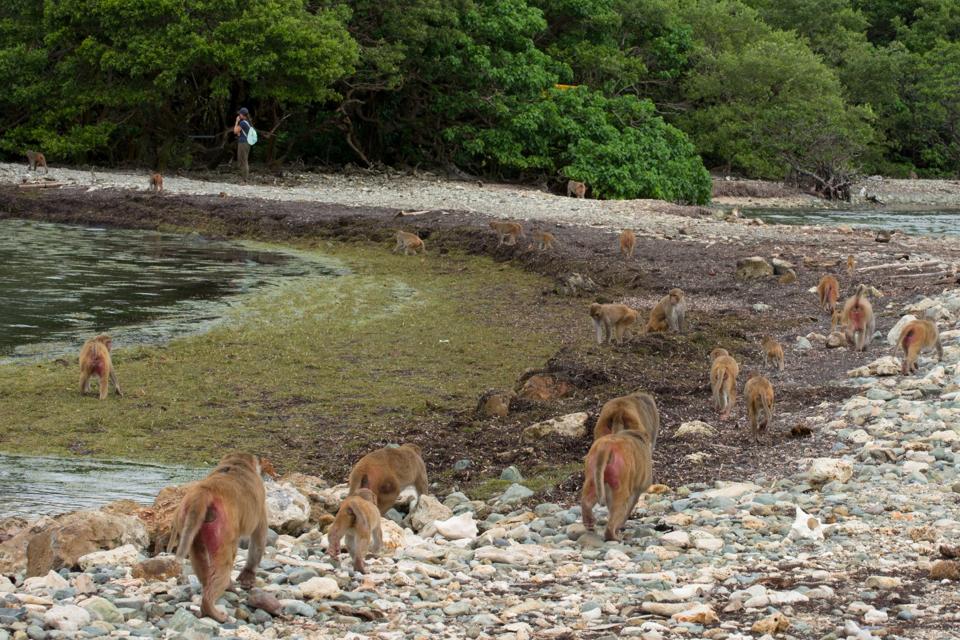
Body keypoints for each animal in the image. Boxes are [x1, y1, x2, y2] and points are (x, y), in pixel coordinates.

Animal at [167, 453, 268, 623]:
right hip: (222, 528)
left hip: (188, 519)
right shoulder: (261, 507)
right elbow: (258, 537)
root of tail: (205, 491)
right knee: (223, 564)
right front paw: (248, 574)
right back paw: (212, 604)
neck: (238, 463)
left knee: (199, 558)